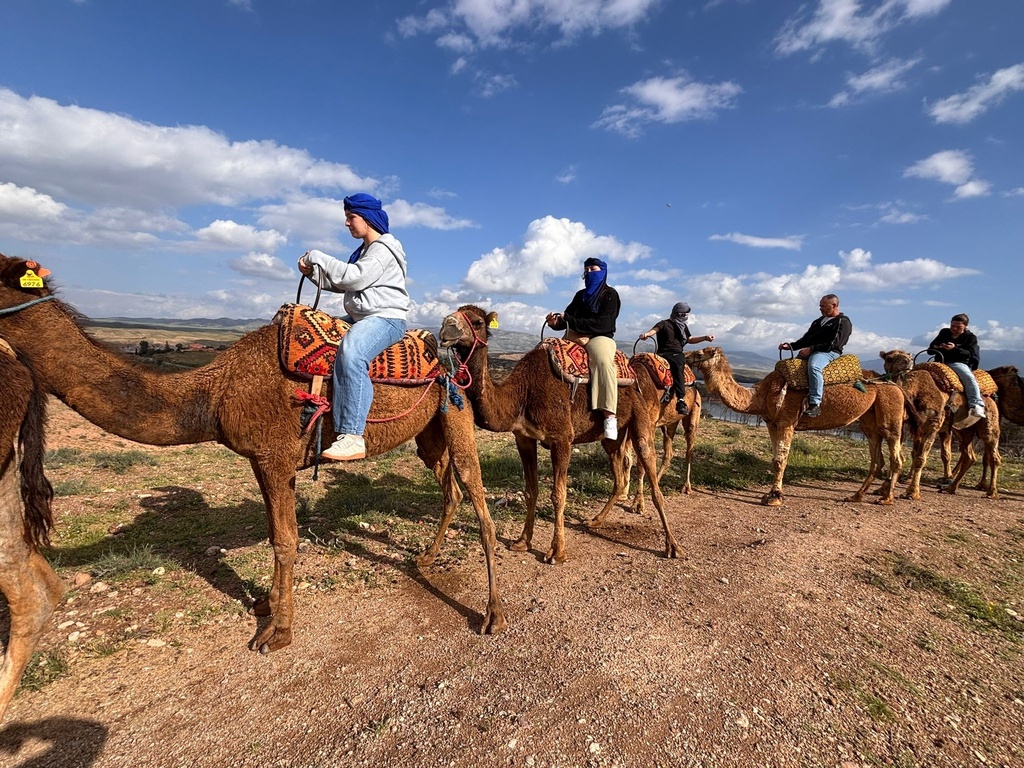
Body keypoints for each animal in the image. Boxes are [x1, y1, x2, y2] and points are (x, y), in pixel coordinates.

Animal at [0, 253, 505, 654]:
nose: (455, 327)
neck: (216, 391)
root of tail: (450, 357)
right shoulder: (262, 461)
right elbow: (274, 534)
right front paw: (267, 603)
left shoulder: (275, 457)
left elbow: (285, 540)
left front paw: (276, 632)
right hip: (429, 433)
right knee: (450, 488)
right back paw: (425, 560)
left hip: (457, 412)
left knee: (478, 501)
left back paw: (492, 615)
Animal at [433, 305, 680, 564]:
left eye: (478, 322)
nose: (447, 327)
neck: (522, 394)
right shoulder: (524, 437)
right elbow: (531, 491)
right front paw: (522, 541)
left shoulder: (562, 438)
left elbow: (558, 494)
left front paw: (556, 551)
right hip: (612, 435)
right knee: (619, 475)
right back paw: (596, 520)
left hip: (642, 419)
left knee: (652, 477)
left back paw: (672, 546)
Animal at [684, 346, 907, 506]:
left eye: (699, 352)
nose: (685, 356)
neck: (760, 395)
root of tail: (895, 386)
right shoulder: (772, 423)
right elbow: (775, 459)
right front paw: (772, 494)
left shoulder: (787, 421)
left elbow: (780, 460)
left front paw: (774, 497)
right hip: (869, 419)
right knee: (876, 457)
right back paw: (856, 496)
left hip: (890, 412)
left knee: (896, 455)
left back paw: (886, 498)